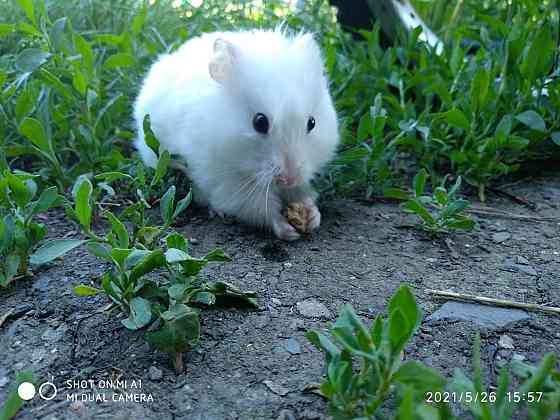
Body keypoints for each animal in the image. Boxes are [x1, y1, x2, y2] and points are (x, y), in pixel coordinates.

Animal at [133, 27, 340, 240]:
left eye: (312, 122)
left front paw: (312, 217)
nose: (289, 179)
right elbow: (260, 209)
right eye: (259, 122)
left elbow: (304, 193)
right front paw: (289, 232)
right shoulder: (228, 184)